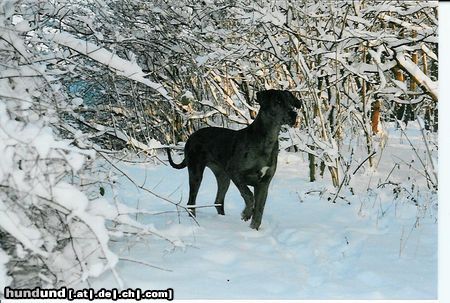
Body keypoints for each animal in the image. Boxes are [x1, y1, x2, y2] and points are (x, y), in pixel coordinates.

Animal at [167, 90, 300, 230]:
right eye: (277, 101)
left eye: (290, 102)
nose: (294, 114)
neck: (267, 140)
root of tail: (191, 136)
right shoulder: (235, 173)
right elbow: (249, 196)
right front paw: (246, 214)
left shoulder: (264, 183)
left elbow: (259, 210)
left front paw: (253, 229)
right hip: (196, 172)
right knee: (191, 201)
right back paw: (194, 221)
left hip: (223, 177)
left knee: (218, 201)